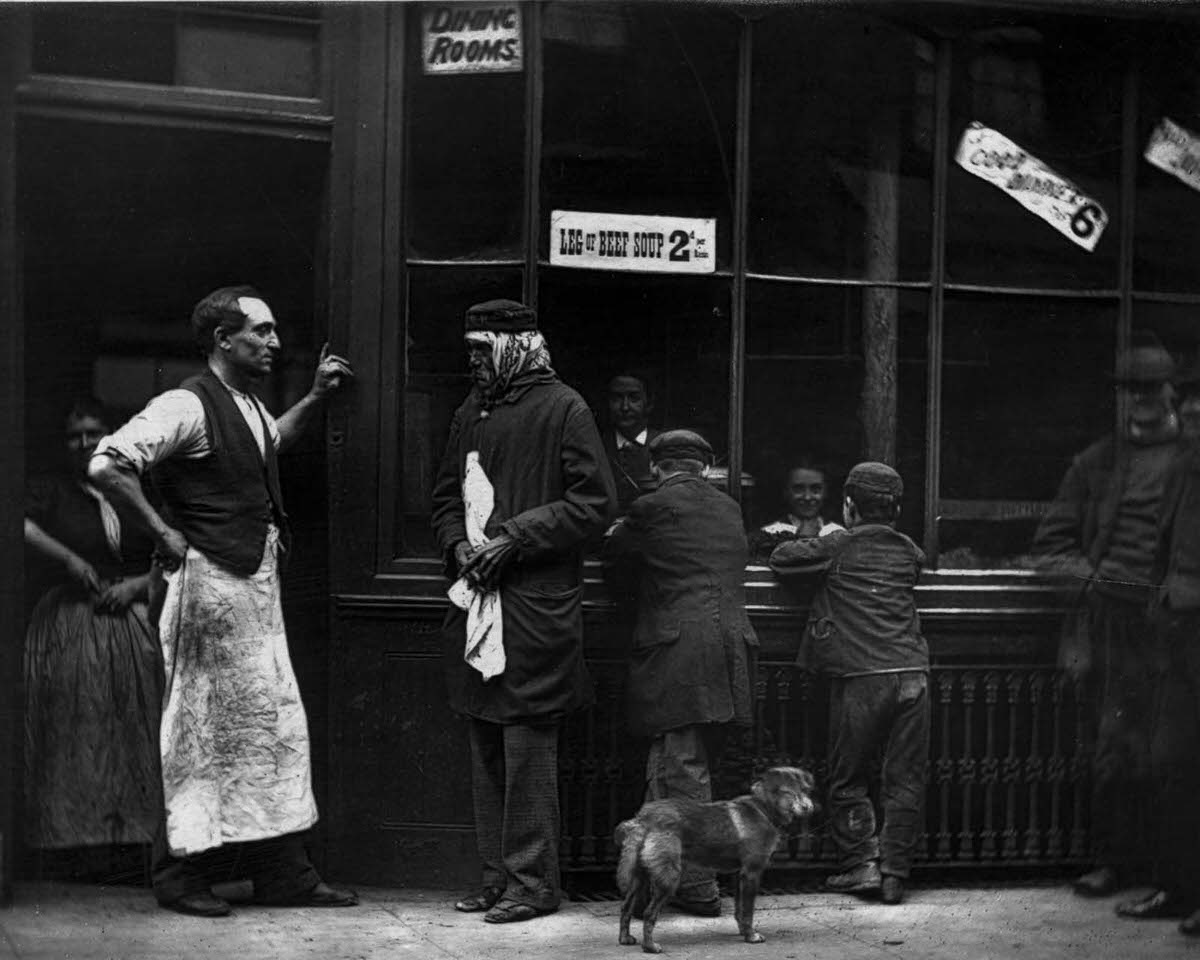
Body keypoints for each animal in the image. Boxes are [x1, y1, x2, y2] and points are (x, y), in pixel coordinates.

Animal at [619, 763, 816, 950]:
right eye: (788, 792)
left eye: (806, 790)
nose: (808, 807)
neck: (763, 808)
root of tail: (645, 818)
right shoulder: (751, 873)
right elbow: (748, 911)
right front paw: (751, 936)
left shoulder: (739, 874)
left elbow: (739, 910)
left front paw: (744, 932)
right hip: (669, 878)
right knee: (649, 913)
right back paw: (650, 947)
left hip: (639, 876)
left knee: (626, 907)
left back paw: (625, 939)